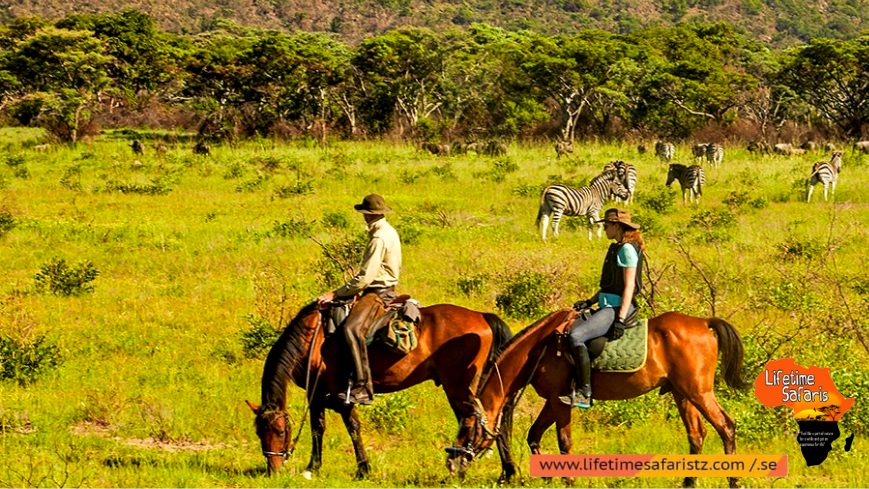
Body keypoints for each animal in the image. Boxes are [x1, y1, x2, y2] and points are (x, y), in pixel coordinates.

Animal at [244, 294, 516, 480]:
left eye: (280, 431)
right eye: (259, 433)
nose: (273, 470)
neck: (313, 338)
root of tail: (482, 316)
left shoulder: (330, 391)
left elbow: (341, 427)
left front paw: (355, 468)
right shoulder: (319, 393)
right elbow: (321, 427)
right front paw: (319, 466)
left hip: (458, 387)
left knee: (481, 421)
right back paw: (507, 472)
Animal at [448, 310, 744, 486]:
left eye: (468, 427)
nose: (452, 463)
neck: (539, 350)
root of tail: (704, 323)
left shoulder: (560, 401)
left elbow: (564, 442)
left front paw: (567, 480)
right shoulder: (552, 401)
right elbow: (534, 435)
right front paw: (547, 474)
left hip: (698, 392)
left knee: (726, 427)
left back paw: (733, 480)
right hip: (682, 394)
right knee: (697, 435)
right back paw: (688, 481)